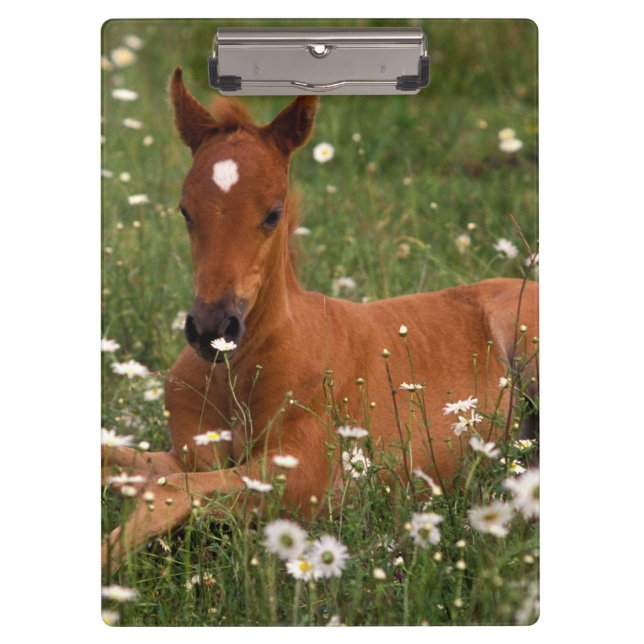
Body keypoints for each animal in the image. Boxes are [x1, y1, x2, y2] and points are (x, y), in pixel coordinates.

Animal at [102, 67, 538, 571]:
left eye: (273, 213)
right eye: (185, 210)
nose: (212, 330)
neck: (239, 372)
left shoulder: (303, 473)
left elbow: (169, 491)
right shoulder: (188, 452)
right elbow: (126, 464)